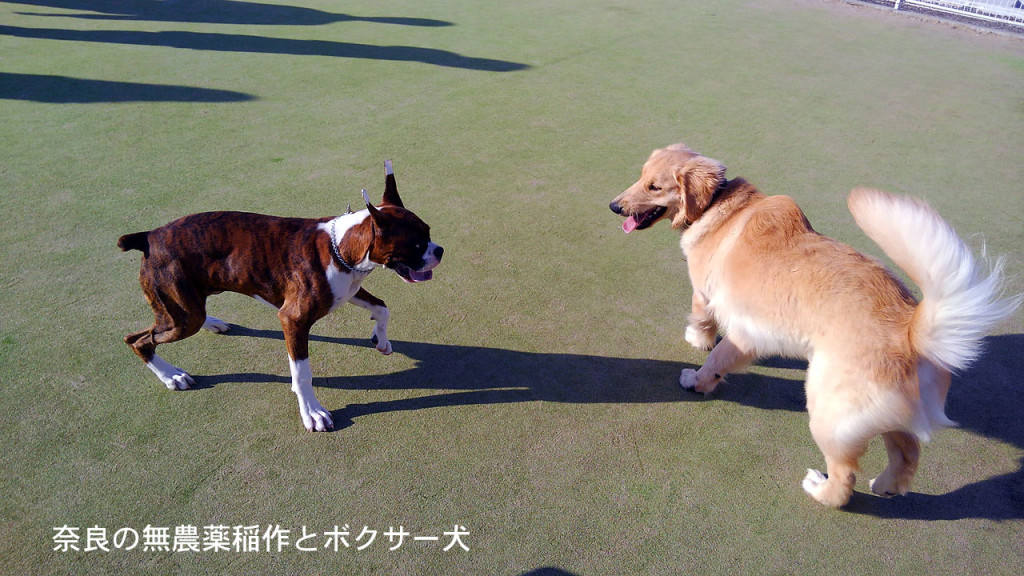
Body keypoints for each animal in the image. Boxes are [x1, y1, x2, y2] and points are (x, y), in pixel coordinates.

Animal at [118, 158, 440, 428]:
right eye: (416, 243)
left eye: (429, 232)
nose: (440, 251)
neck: (340, 247)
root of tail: (150, 236)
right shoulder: (293, 320)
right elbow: (302, 373)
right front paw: (312, 411)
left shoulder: (349, 291)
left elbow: (382, 308)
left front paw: (381, 340)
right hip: (182, 317)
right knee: (139, 340)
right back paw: (171, 375)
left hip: (187, 306)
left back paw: (212, 323)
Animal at [610, 143, 1019, 506]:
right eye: (640, 177)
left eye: (654, 187)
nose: (614, 206)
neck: (721, 206)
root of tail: (909, 328)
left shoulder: (706, 297)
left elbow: (709, 344)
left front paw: (695, 367)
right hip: (887, 418)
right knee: (907, 455)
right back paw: (885, 486)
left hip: (826, 411)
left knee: (845, 480)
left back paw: (819, 489)